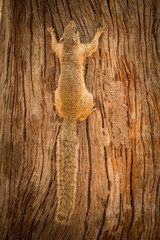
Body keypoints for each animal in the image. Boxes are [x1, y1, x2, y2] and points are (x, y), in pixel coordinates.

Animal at [47, 21, 105, 224]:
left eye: (69, 28)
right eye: (77, 30)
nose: (72, 22)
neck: (69, 48)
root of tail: (69, 116)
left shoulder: (60, 50)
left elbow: (53, 46)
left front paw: (51, 33)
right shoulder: (83, 50)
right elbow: (93, 47)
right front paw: (99, 33)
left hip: (56, 95)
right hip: (88, 98)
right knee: (83, 115)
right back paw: (91, 111)